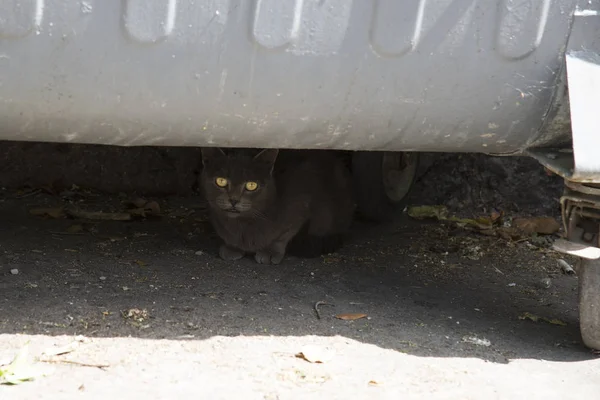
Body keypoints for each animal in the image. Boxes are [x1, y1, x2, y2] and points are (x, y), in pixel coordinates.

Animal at [199, 148, 356, 264]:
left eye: (251, 185)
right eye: (221, 181)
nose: (233, 200)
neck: (242, 223)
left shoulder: (300, 203)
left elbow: (283, 235)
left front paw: (270, 252)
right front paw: (232, 247)